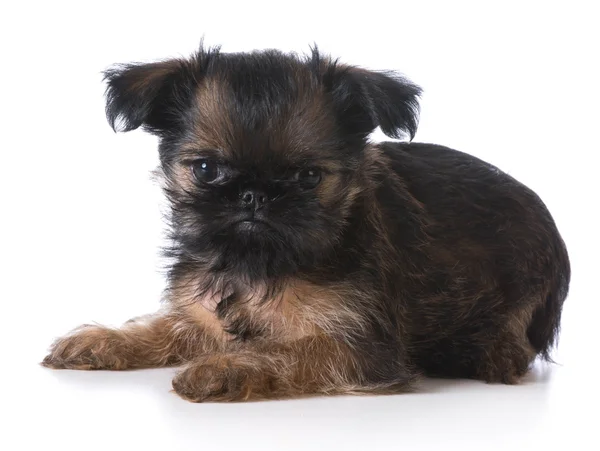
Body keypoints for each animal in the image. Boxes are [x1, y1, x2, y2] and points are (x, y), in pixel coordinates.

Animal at [41, 43, 568, 402]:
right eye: (207, 170)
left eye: (308, 177)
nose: (254, 194)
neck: (256, 267)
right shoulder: (201, 311)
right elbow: (161, 324)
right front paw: (102, 339)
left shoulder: (358, 348)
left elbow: (290, 351)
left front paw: (225, 368)